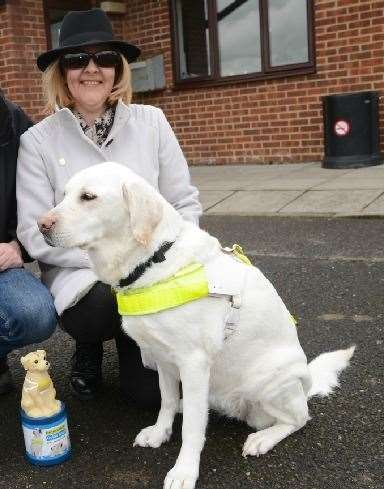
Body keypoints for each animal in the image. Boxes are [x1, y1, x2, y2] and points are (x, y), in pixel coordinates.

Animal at [38, 163, 354, 488]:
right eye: (64, 194)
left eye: (88, 196)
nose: (41, 225)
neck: (153, 259)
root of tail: (307, 384)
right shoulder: (163, 358)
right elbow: (165, 400)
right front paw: (160, 431)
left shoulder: (193, 362)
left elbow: (191, 429)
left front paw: (184, 471)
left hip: (267, 380)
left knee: (298, 418)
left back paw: (263, 438)